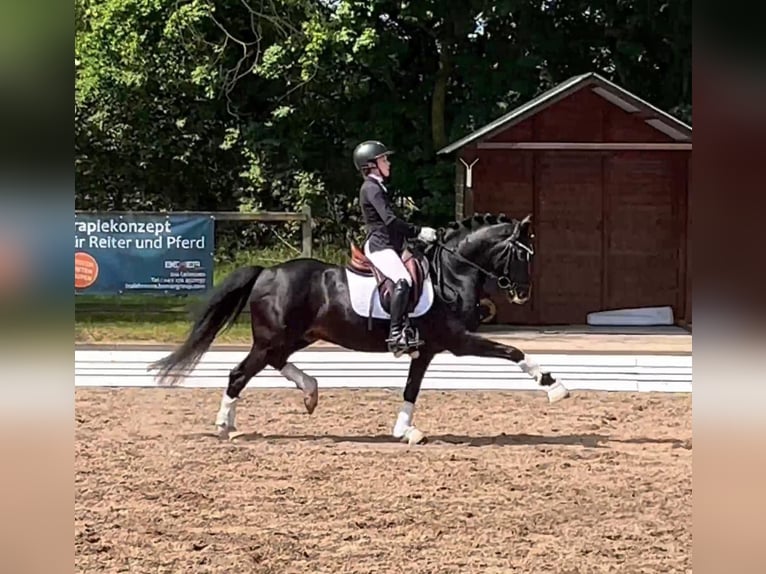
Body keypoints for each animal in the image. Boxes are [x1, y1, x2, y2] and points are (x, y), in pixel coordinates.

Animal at [148, 213, 568, 446]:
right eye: (522, 255)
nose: (523, 293)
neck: (452, 272)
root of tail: (267, 272)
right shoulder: (458, 341)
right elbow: (513, 351)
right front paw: (554, 386)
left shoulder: (428, 348)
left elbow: (411, 389)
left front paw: (405, 431)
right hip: (274, 337)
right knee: (239, 373)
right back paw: (225, 425)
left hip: (295, 336)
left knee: (272, 363)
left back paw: (309, 392)